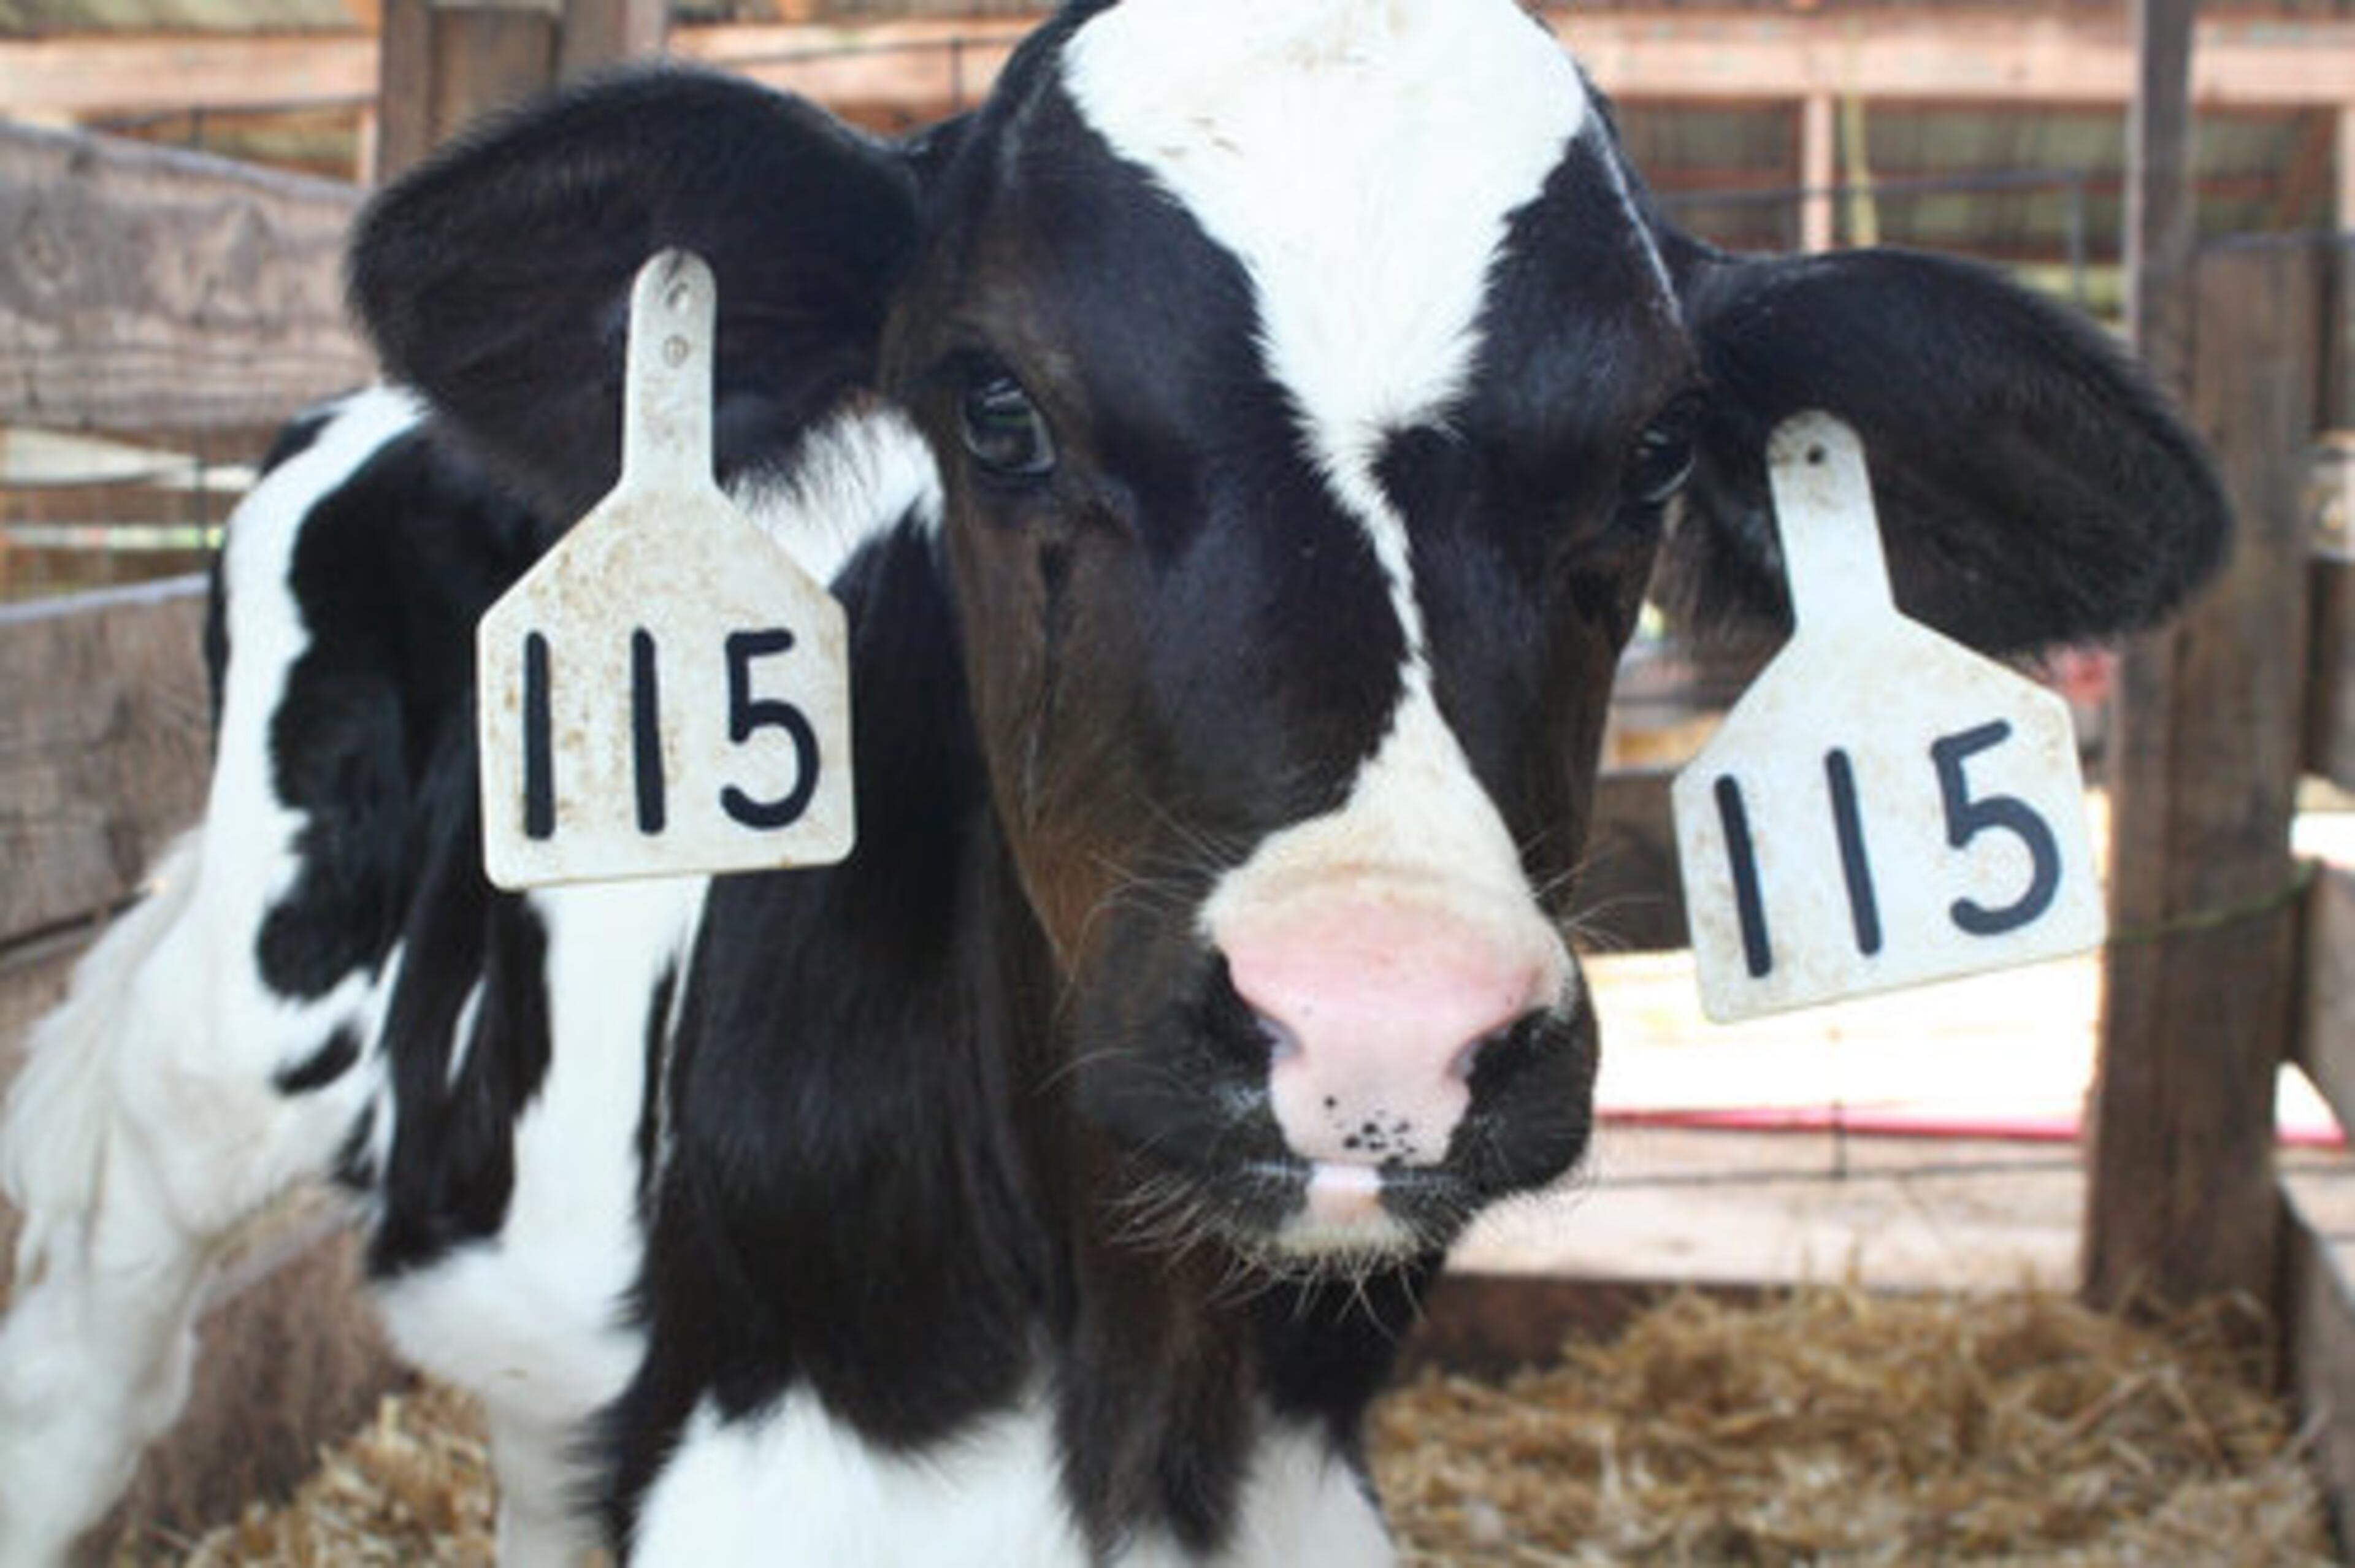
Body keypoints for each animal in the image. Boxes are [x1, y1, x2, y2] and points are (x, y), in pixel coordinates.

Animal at [0, 1, 2228, 1562]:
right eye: (994, 403)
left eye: (1660, 450)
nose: (1377, 1026)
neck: (1132, 1393)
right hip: (206, 1061)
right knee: (92, 1335)